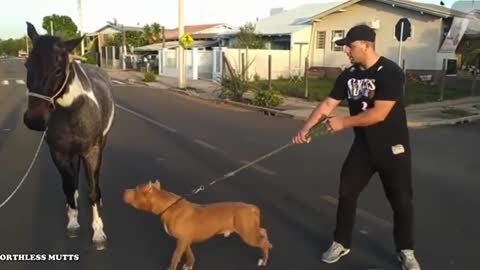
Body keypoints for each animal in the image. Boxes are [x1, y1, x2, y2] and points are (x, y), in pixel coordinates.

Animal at [23, 21, 116, 251]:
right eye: (27, 65)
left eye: (58, 70)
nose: (34, 120)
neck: (73, 109)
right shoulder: (59, 153)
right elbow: (68, 186)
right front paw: (73, 222)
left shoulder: (92, 151)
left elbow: (92, 190)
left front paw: (98, 233)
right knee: (73, 180)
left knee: (93, 182)